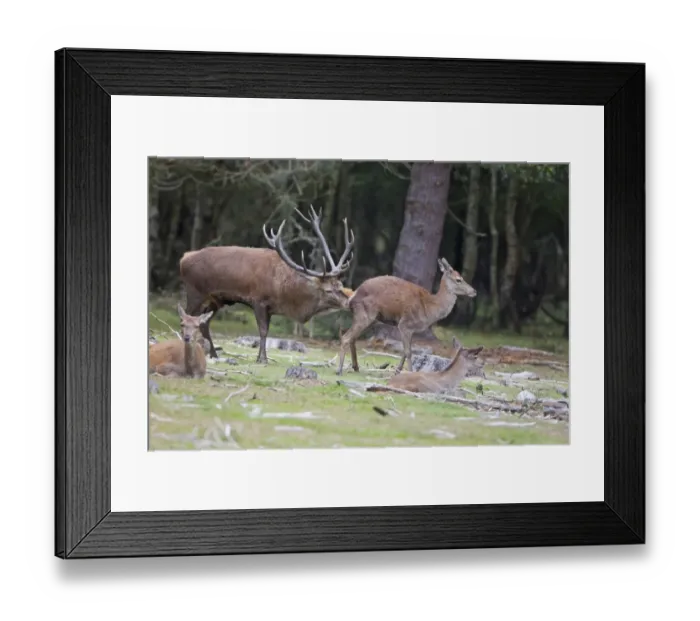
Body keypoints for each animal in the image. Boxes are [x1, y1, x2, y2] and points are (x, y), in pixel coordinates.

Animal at [179, 205, 355, 364]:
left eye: (340, 285)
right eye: (328, 290)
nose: (349, 302)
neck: (283, 290)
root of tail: (183, 258)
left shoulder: (270, 308)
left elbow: (267, 331)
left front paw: (261, 357)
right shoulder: (258, 300)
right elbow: (263, 331)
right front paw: (262, 359)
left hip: (216, 299)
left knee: (204, 322)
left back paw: (214, 354)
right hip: (195, 291)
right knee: (187, 316)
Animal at [336, 257, 477, 376]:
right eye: (458, 279)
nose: (474, 291)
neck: (430, 307)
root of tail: (352, 297)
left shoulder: (411, 330)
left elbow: (406, 350)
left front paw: (397, 371)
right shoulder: (405, 324)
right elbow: (409, 352)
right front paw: (410, 372)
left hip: (371, 319)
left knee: (352, 338)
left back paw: (356, 367)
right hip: (365, 314)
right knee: (346, 337)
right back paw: (339, 370)